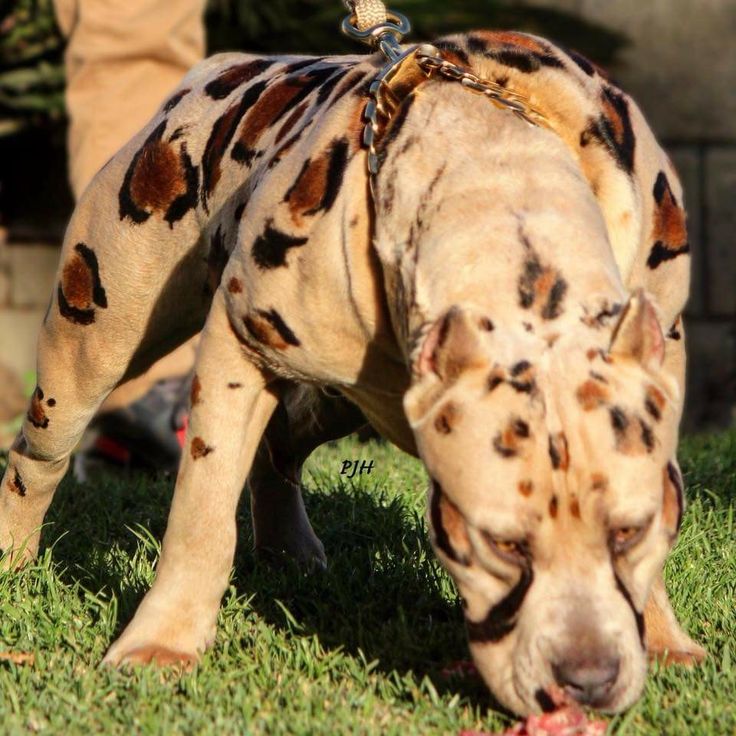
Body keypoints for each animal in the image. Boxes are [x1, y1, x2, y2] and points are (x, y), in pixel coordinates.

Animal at [0, 31, 704, 716]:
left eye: (632, 530)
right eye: (500, 543)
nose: (587, 679)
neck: (501, 186)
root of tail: (222, 67)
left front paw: (665, 639)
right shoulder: (235, 349)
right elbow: (202, 513)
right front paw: (162, 643)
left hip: (344, 396)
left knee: (281, 444)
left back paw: (288, 548)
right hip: (92, 336)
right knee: (41, 452)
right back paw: (13, 553)